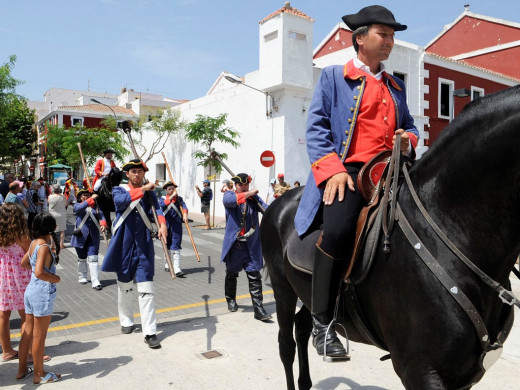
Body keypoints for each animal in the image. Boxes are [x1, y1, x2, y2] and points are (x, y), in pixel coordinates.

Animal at [262, 86, 520, 390]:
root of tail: (279, 203)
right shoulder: (418, 369)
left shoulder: (464, 373)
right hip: (282, 288)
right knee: (286, 344)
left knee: (303, 326)